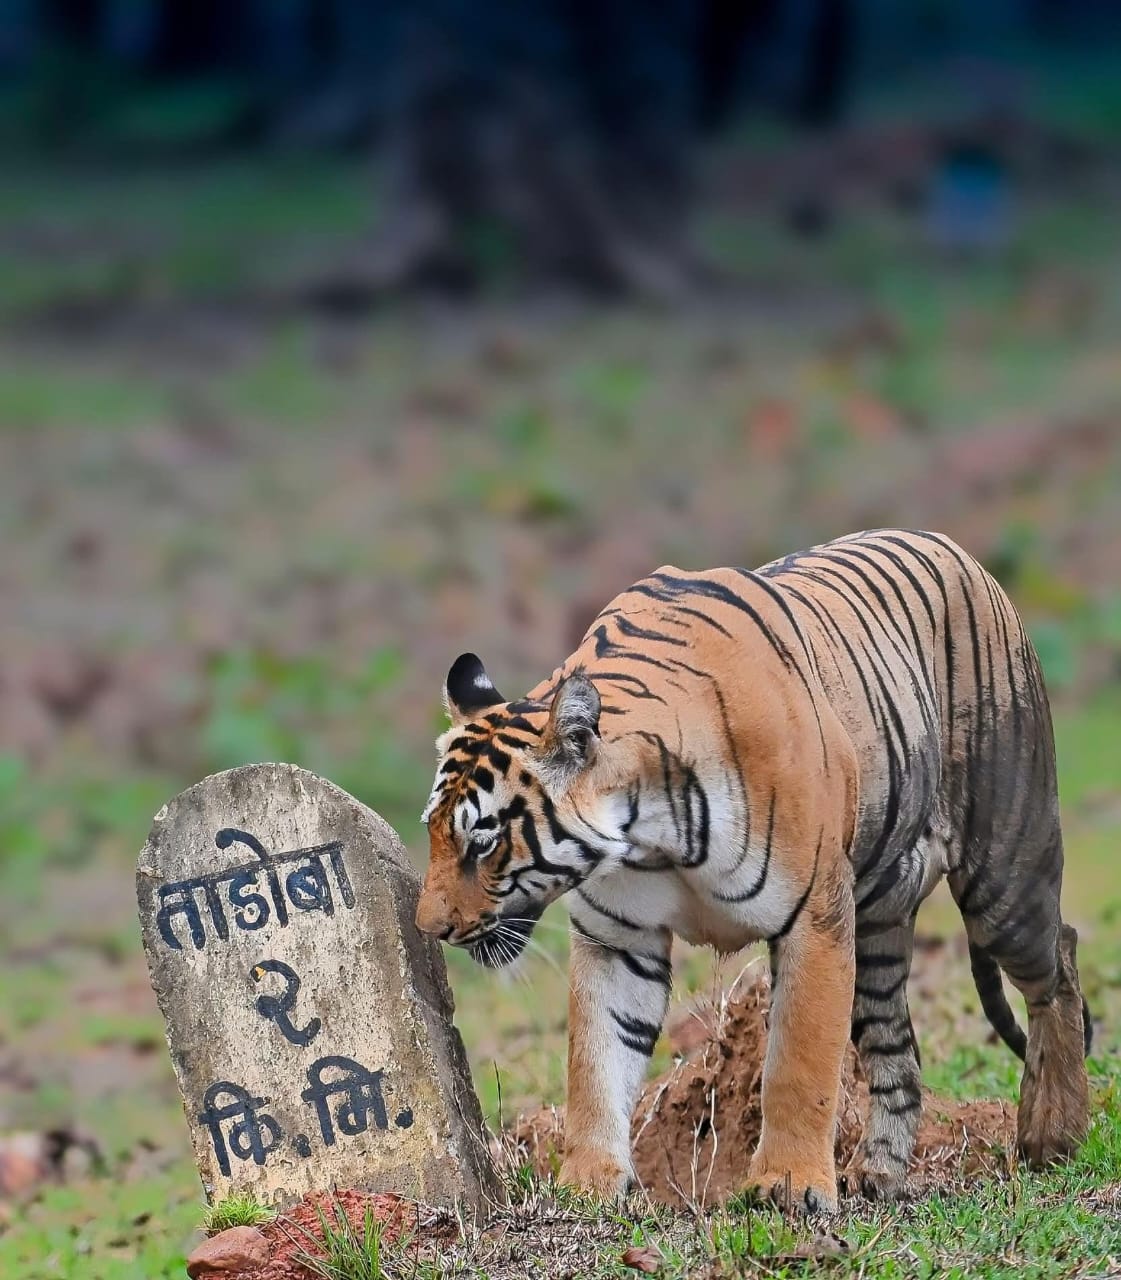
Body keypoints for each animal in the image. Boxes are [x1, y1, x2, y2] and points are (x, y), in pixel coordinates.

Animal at [416, 528, 1091, 1213]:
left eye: (483, 842)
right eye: (434, 832)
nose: (428, 928)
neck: (649, 832)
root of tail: (950, 544)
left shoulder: (815, 919)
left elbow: (797, 1063)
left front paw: (788, 1185)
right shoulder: (617, 939)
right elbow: (597, 1060)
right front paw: (589, 1181)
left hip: (1002, 875)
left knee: (1058, 961)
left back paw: (1051, 1135)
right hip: (877, 922)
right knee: (898, 1050)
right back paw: (878, 1172)